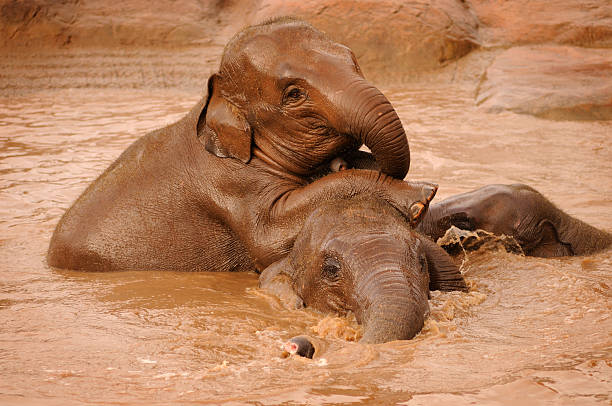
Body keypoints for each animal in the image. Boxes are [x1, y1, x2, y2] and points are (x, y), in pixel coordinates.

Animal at [49, 18, 440, 272]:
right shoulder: (229, 183)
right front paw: (423, 194)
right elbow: (270, 235)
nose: (342, 160)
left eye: (353, 60)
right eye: (293, 94)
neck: (213, 98)